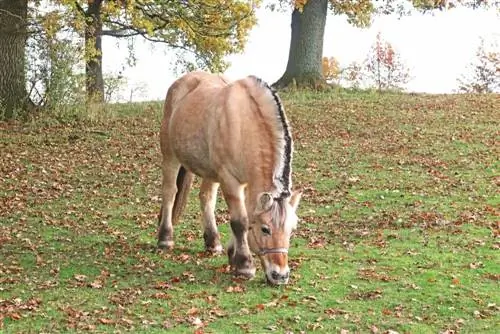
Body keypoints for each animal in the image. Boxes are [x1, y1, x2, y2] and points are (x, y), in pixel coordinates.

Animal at [158, 70, 302, 284]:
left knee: (206, 198)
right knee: (169, 192)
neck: (244, 124)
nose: (280, 275)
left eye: (291, 230)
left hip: (209, 171)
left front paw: (232, 254)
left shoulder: (247, 183)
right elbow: (240, 221)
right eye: (265, 229)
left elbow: (246, 214)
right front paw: (244, 265)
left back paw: (213, 242)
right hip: (170, 156)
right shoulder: (230, 181)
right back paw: (165, 238)